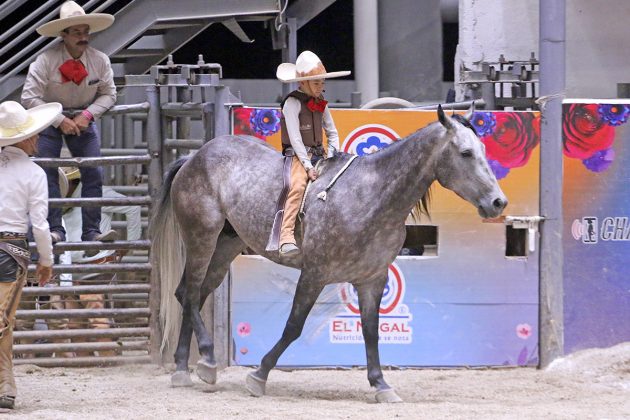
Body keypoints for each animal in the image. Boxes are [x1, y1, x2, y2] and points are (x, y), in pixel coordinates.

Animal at [152, 107, 508, 404]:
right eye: (465, 153)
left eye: (483, 151)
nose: (498, 202)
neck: (371, 196)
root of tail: (194, 157)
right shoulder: (315, 273)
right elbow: (293, 327)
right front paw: (259, 375)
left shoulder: (371, 280)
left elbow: (370, 331)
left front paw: (381, 385)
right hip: (202, 238)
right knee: (190, 293)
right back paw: (208, 359)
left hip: (225, 246)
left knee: (190, 294)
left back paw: (183, 369)